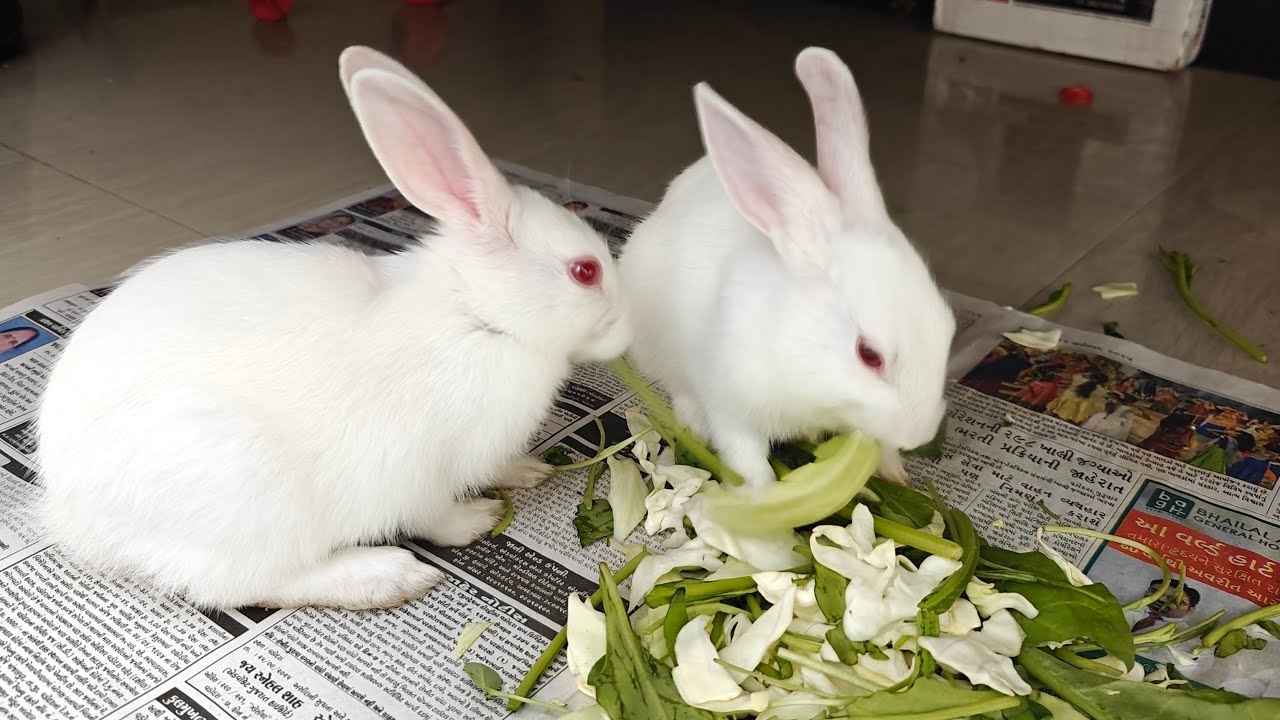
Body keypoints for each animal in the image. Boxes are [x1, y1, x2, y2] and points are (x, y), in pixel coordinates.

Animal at [34, 46, 632, 611]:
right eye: (585, 271)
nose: (629, 330)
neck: (475, 313)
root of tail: (73, 517)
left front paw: (527, 470)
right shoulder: (416, 471)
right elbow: (433, 516)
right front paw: (476, 520)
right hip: (251, 496)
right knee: (242, 585)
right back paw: (387, 577)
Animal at [617, 47, 954, 489]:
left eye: (949, 327)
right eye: (869, 355)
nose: (919, 434)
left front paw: (895, 473)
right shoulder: (733, 408)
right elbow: (747, 460)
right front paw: (762, 502)